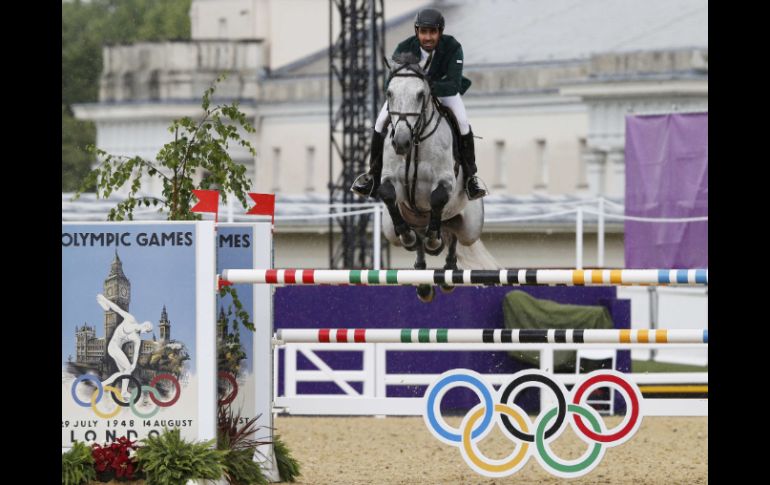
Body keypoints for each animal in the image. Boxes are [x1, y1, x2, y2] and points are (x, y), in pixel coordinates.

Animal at [378, 58, 498, 300]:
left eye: (420, 94)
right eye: (389, 93)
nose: (401, 143)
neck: (415, 140)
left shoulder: (445, 181)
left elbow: (437, 198)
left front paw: (434, 241)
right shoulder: (392, 181)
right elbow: (388, 194)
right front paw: (409, 236)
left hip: (469, 228)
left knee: (454, 236)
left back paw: (447, 268)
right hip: (390, 230)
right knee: (418, 239)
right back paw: (421, 274)